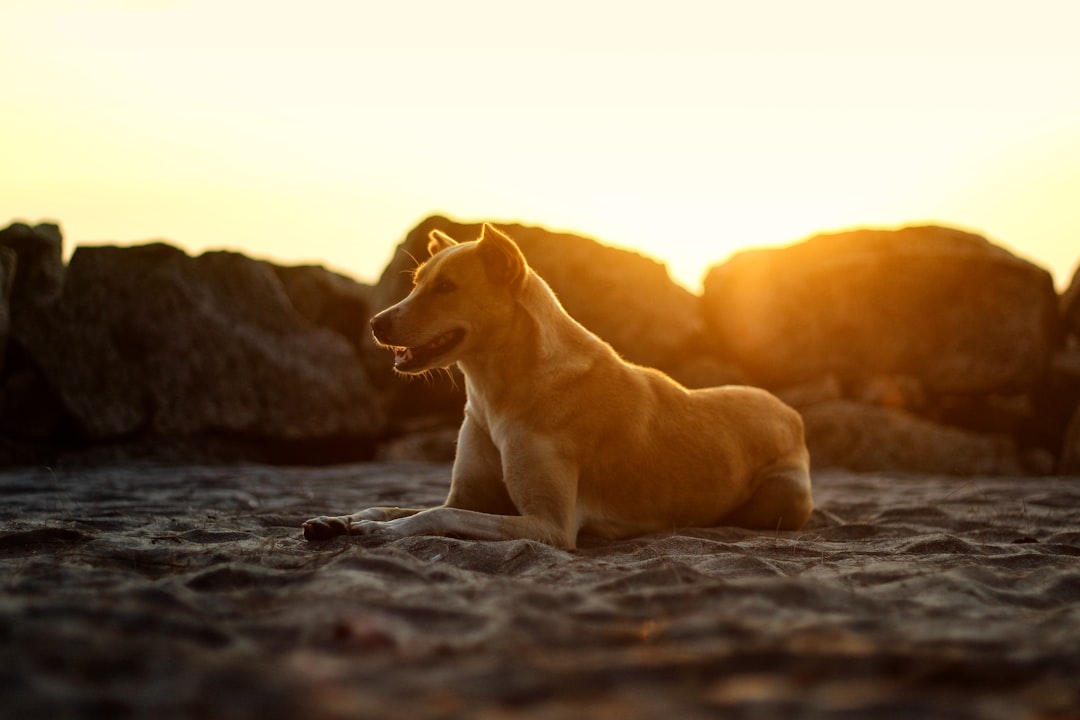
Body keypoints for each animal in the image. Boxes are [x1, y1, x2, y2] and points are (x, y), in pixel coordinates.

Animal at [304, 222, 812, 548]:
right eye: (415, 283)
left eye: (447, 287)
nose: (375, 324)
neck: (500, 390)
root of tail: (788, 411)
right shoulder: (469, 495)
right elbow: (395, 506)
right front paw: (341, 519)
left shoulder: (548, 525)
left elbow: (436, 514)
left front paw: (381, 532)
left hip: (783, 498)